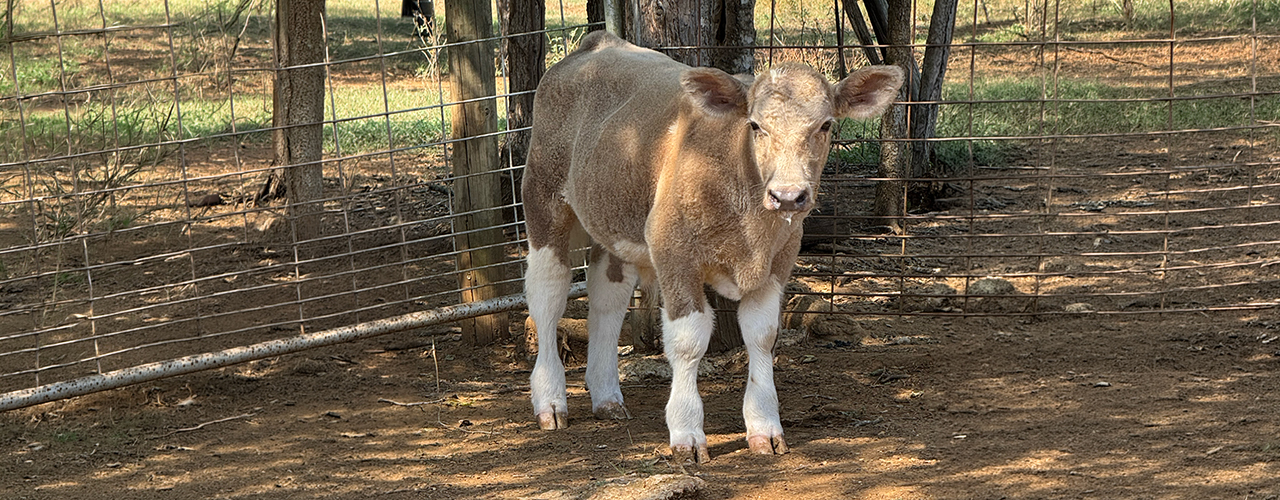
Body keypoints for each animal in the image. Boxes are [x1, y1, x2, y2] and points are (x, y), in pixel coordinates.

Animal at [522, 31, 903, 464]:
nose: (788, 196)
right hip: (544, 199)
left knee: (608, 298)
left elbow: (762, 335)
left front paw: (764, 427)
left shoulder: (778, 261)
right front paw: (687, 432)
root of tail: (598, 42)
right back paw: (550, 401)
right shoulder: (673, 252)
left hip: (614, 218)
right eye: (755, 125)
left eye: (825, 125)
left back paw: (606, 397)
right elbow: (688, 341)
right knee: (548, 295)